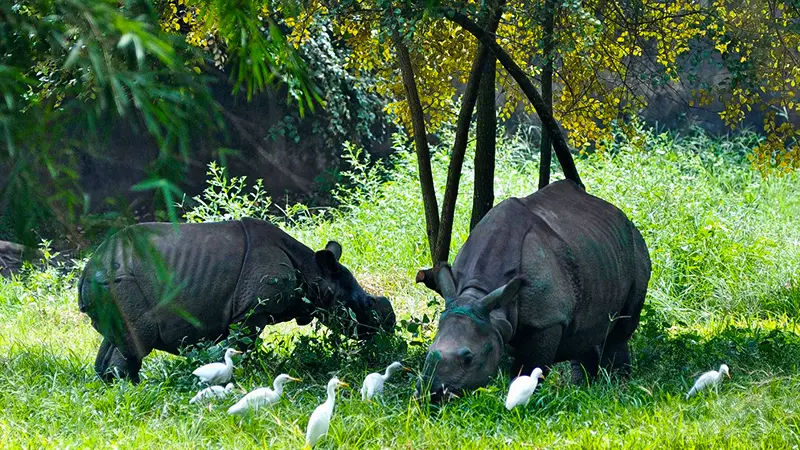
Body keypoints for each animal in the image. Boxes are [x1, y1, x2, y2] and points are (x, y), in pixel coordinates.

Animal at [79, 218, 396, 383]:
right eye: (367, 306)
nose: (390, 324)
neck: (314, 272)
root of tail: (85, 273)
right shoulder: (252, 310)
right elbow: (241, 345)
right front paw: (234, 374)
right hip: (121, 282)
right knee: (136, 339)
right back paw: (134, 387)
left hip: (111, 285)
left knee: (116, 339)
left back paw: (113, 385)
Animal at [416, 180, 650, 401]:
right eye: (428, 352)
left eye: (468, 359)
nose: (431, 395)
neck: (479, 293)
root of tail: (619, 213)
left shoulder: (547, 320)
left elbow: (527, 369)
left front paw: (523, 399)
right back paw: (581, 388)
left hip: (635, 245)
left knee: (621, 328)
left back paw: (618, 387)